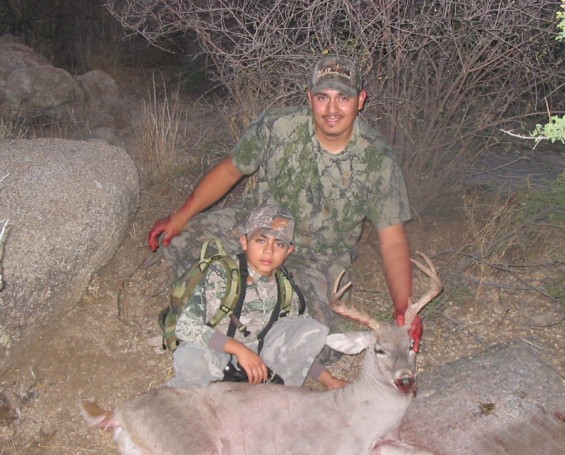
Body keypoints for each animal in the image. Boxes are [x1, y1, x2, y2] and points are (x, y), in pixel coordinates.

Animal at [79, 252, 442, 455]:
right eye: (379, 349)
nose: (406, 381)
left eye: (411, 345)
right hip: (189, 443)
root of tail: (119, 410)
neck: (367, 415)